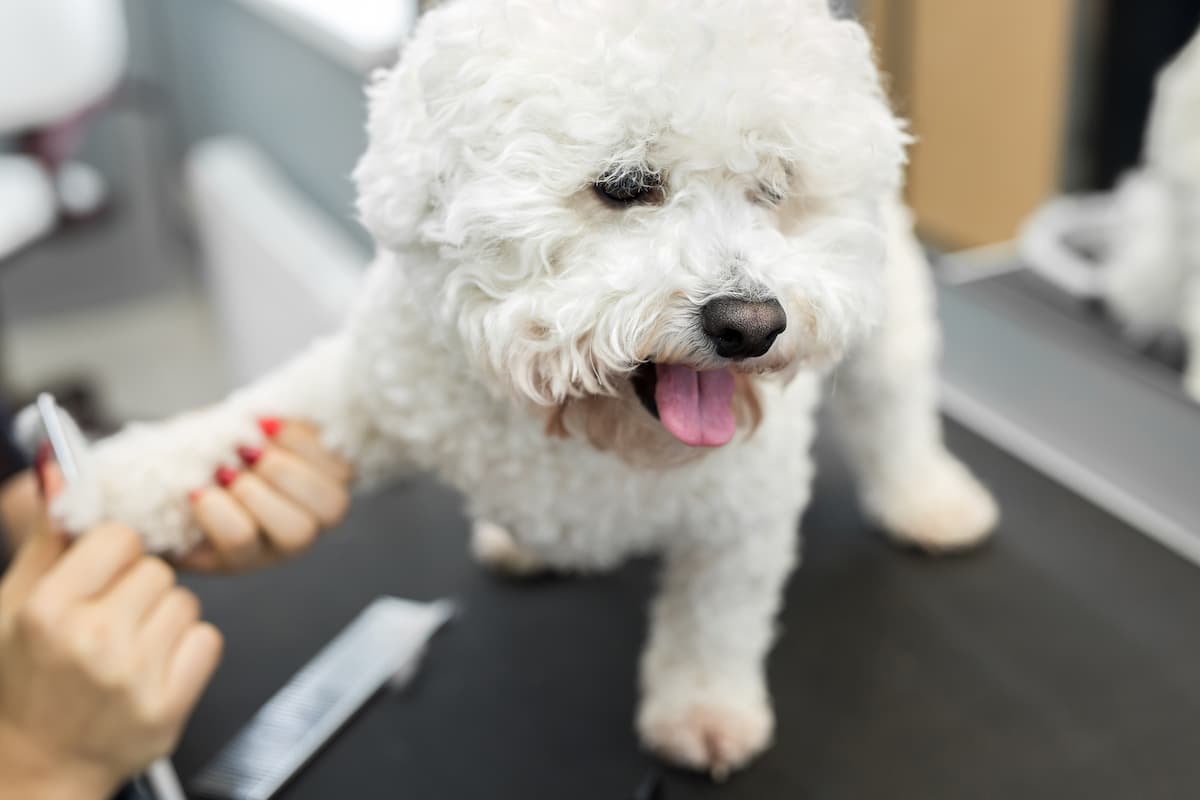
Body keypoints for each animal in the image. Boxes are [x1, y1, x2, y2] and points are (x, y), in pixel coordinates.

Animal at [51, 0, 998, 777]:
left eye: (774, 187)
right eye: (624, 185)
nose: (750, 322)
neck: (584, 418)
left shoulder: (744, 510)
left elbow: (716, 616)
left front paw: (704, 711)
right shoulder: (375, 386)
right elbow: (237, 425)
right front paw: (102, 483)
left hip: (889, 312)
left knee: (894, 404)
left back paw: (928, 500)